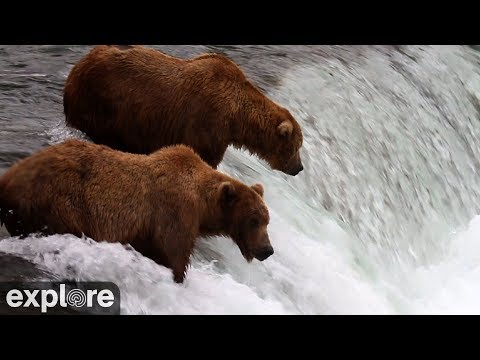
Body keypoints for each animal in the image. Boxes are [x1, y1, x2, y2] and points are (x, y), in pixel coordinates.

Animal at [0, 139, 274, 282]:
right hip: (59, 204)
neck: (202, 205)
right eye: (254, 220)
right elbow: (174, 258)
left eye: (266, 220)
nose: (268, 250)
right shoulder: (174, 215)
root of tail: (9, 177)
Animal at [62, 44, 304, 176]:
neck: (236, 118)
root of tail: (77, 67)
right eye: (296, 147)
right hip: (102, 104)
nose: (299, 168)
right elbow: (204, 157)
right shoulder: (207, 123)